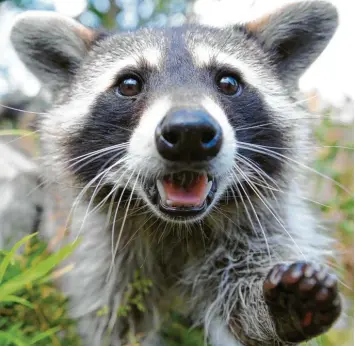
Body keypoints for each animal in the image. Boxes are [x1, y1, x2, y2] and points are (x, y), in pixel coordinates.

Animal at [9, 2, 342, 346]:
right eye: (129, 84)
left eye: (228, 83)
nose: (189, 133)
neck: (177, 227)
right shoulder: (99, 252)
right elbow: (114, 322)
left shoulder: (260, 226)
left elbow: (241, 306)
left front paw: (276, 310)